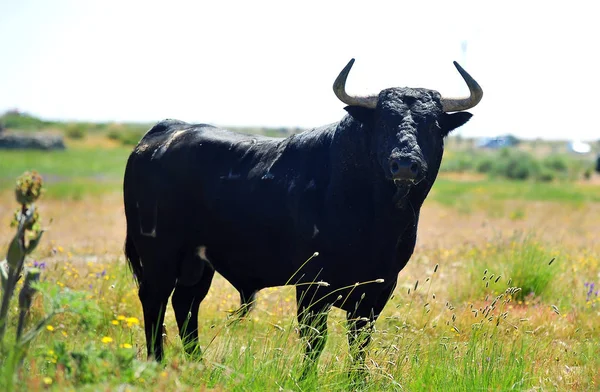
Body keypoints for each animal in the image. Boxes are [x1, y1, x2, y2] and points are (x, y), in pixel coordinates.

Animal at [123, 59, 482, 374]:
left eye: (433, 124)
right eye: (383, 121)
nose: (405, 164)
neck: (375, 217)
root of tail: (164, 132)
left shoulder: (378, 289)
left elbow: (360, 343)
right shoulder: (312, 285)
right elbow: (315, 340)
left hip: (197, 263)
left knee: (186, 304)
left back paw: (199, 365)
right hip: (159, 255)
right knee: (155, 301)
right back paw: (157, 363)